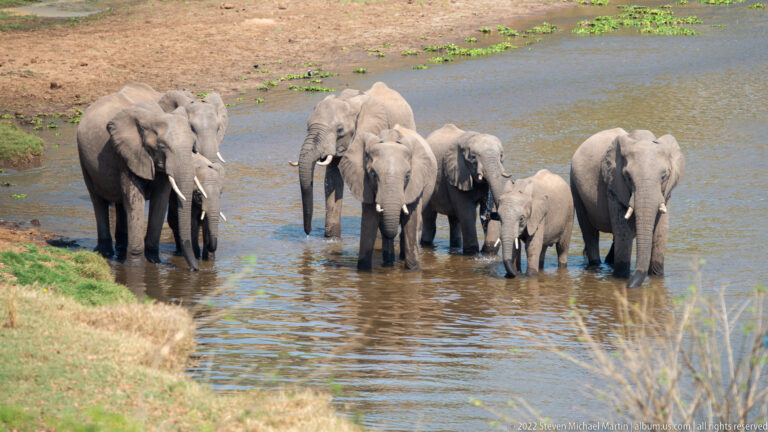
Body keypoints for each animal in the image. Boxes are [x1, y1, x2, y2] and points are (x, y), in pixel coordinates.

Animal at [77, 83, 198, 270]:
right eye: (162, 146)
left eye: (193, 144)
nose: (196, 269)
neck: (153, 117)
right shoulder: (127, 154)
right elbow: (136, 200)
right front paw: (136, 265)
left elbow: (160, 199)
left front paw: (154, 260)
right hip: (84, 159)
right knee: (97, 200)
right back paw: (105, 253)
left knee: (120, 202)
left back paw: (121, 248)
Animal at [297, 81, 416, 238]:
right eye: (307, 126)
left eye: (340, 130)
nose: (308, 233)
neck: (349, 103)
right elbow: (332, 180)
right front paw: (332, 239)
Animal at [338, 125, 437, 270]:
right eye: (373, 174)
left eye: (408, 175)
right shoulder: (365, 185)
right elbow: (369, 221)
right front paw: (363, 270)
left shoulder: (415, 184)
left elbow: (411, 221)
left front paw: (413, 270)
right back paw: (389, 262)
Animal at [420, 124, 511, 255]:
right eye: (473, 157)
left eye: (501, 156)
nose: (488, 216)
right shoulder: (456, 174)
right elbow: (468, 212)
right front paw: (472, 252)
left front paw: (489, 251)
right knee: (429, 218)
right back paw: (426, 244)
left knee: (454, 220)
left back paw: (455, 247)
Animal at [570, 128, 685, 288]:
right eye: (628, 177)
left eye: (664, 176)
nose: (629, 286)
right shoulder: (613, 185)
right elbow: (623, 231)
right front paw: (621, 278)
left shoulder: (666, 193)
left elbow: (660, 231)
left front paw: (656, 277)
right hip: (575, 186)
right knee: (590, 232)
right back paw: (596, 266)